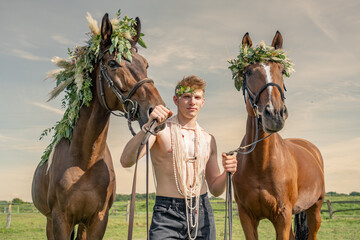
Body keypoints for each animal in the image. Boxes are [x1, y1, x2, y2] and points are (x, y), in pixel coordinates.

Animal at [32, 11, 165, 240]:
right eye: (112, 63)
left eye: (145, 64)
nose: (157, 111)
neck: (85, 161)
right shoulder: (60, 221)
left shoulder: (98, 220)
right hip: (50, 221)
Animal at [229, 31, 324, 239]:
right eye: (248, 72)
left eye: (281, 70)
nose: (274, 114)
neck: (261, 163)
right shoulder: (246, 217)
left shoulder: (282, 216)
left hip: (315, 209)